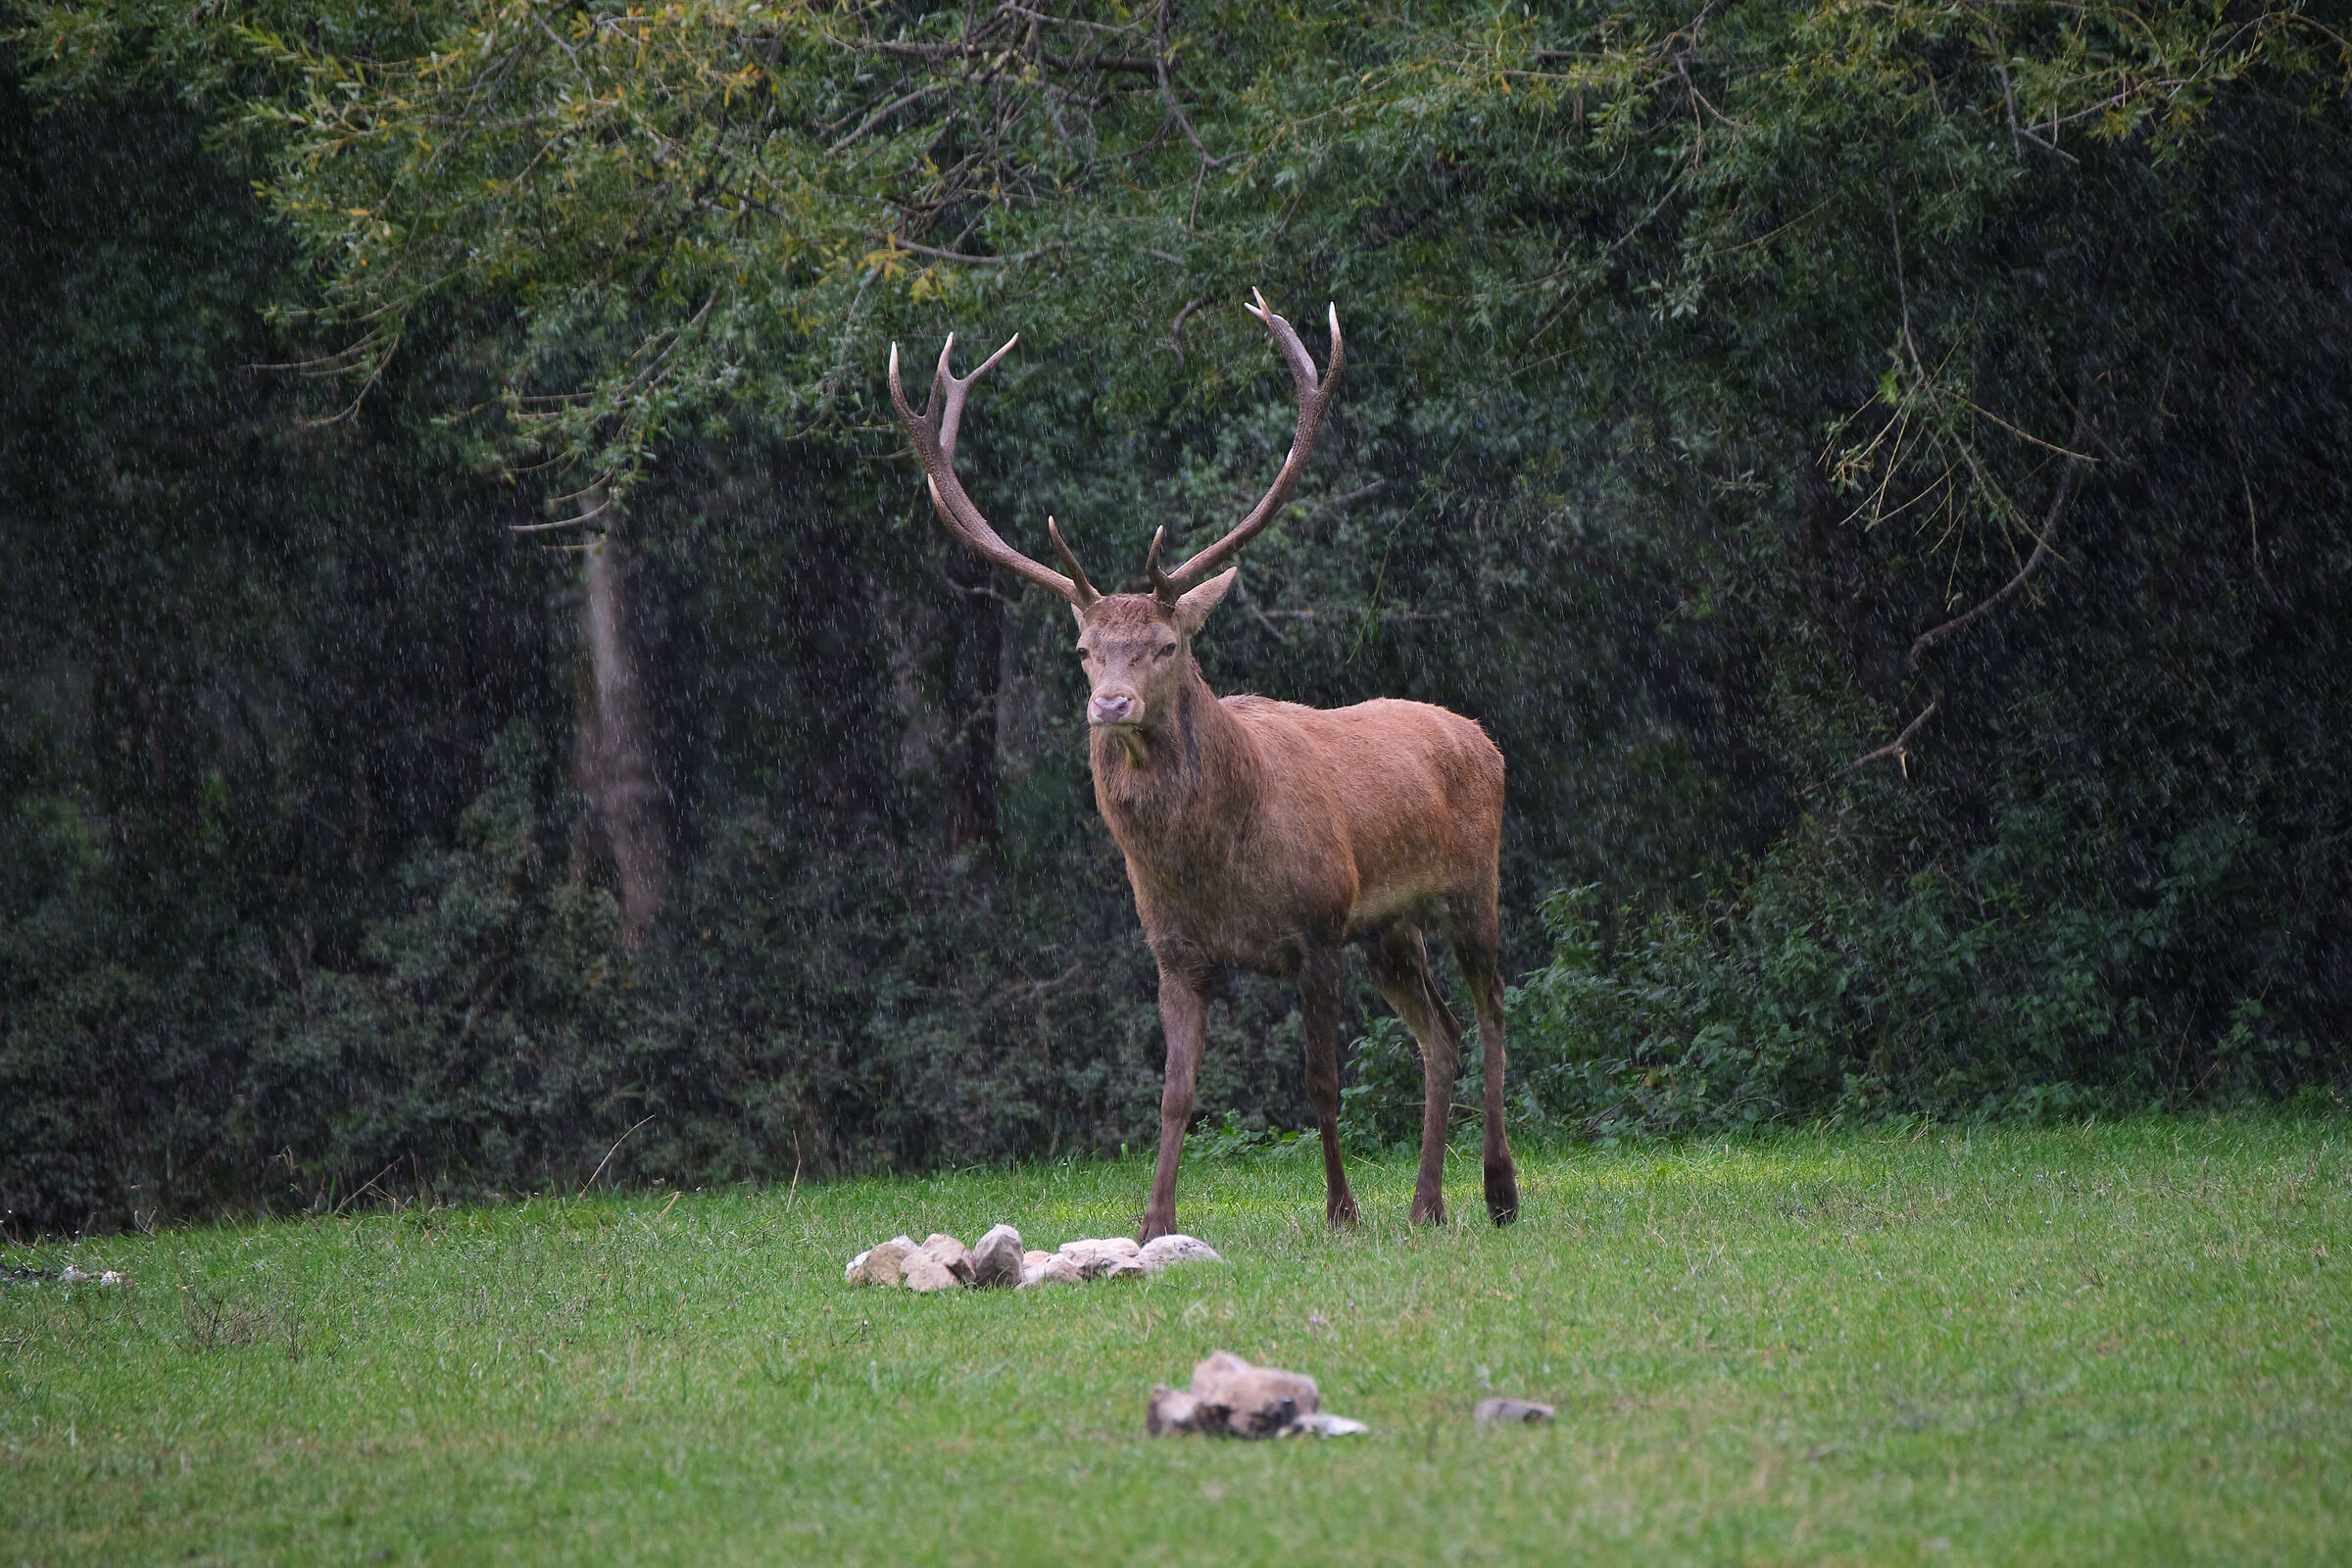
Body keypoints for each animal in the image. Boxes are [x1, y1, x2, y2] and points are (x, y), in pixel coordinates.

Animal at [887, 292, 1518, 1239]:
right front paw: (1154, 1226)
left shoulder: (1317, 925)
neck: (1212, 861)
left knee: (1491, 1016)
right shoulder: (1176, 951)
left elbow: (1320, 1085)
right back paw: (1426, 1205)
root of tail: (1482, 736)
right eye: (1083, 650)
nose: (1110, 705)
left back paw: (1498, 1191)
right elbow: (1175, 1092)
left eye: (1166, 644)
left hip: (1471, 884)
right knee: (1438, 1032)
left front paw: (1340, 1211)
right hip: (1390, 929)